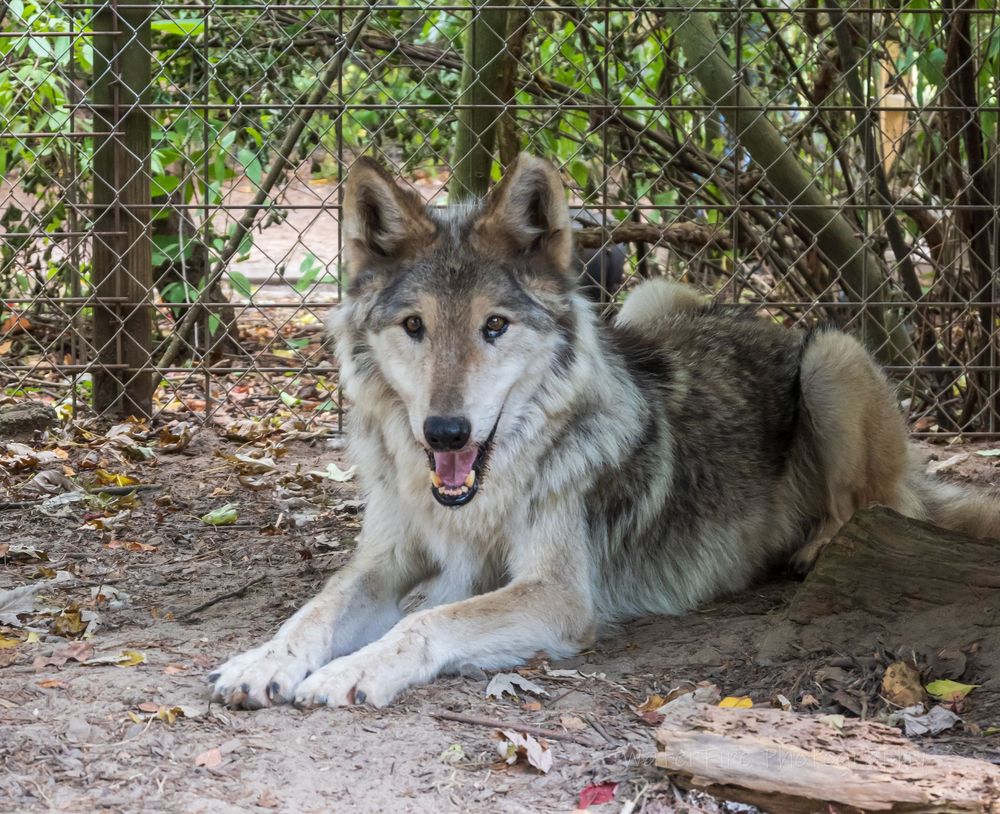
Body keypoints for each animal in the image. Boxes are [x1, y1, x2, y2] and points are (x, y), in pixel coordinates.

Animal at [210, 154, 1000, 709]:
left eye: (494, 326)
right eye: (414, 327)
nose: (445, 432)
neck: (478, 502)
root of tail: (757, 320)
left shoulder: (559, 597)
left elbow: (424, 621)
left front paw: (353, 671)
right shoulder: (386, 558)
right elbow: (314, 608)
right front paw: (263, 661)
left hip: (832, 357)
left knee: (872, 507)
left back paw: (813, 547)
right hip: (652, 299)